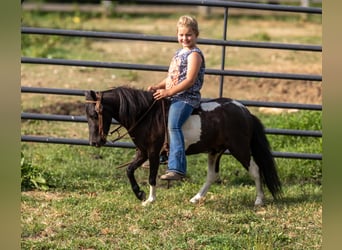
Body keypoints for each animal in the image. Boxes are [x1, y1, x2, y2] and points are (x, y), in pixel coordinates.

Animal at [84, 87, 282, 206]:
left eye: (95, 114)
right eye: (87, 115)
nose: (94, 142)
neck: (146, 116)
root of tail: (245, 111)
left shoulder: (153, 152)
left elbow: (152, 177)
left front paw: (150, 200)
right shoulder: (142, 152)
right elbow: (129, 170)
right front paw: (139, 194)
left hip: (239, 149)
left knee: (255, 170)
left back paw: (259, 200)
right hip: (215, 151)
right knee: (212, 175)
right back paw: (195, 198)